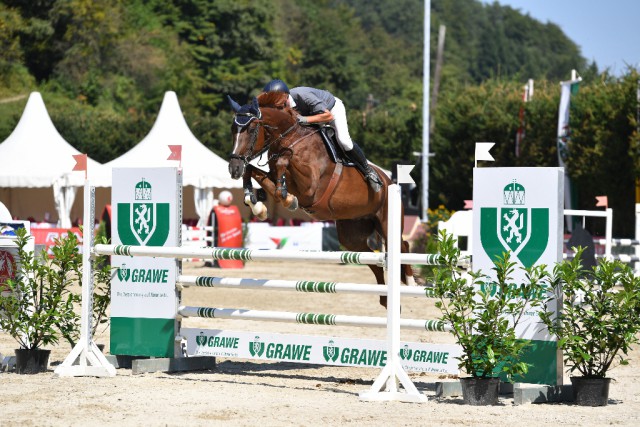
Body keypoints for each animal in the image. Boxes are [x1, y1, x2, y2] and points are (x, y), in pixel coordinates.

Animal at [226, 93, 416, 308]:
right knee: (372, 258)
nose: (233, 168)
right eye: (232, 129)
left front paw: (285, 198)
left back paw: (411, 283)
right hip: (352, 235)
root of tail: (390, 181)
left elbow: (283, 162)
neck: (289, 138)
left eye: (251, 129)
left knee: (402, 245)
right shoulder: (274, 176)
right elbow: (254, 172)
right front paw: (259, 205)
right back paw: (385, 299)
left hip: (386, 221)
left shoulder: (310, 187)